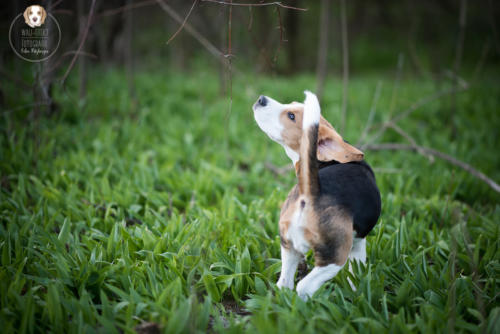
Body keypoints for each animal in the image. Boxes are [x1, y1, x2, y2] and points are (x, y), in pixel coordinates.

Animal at [252, 92, 380, 300]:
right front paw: (356, 292)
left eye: (292, 115)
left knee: (285, 284)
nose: (261, 99)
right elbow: (356, 272)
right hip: (335, 257)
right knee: (304, 286)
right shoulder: (359, 243)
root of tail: (310, 192)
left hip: (288, 247)